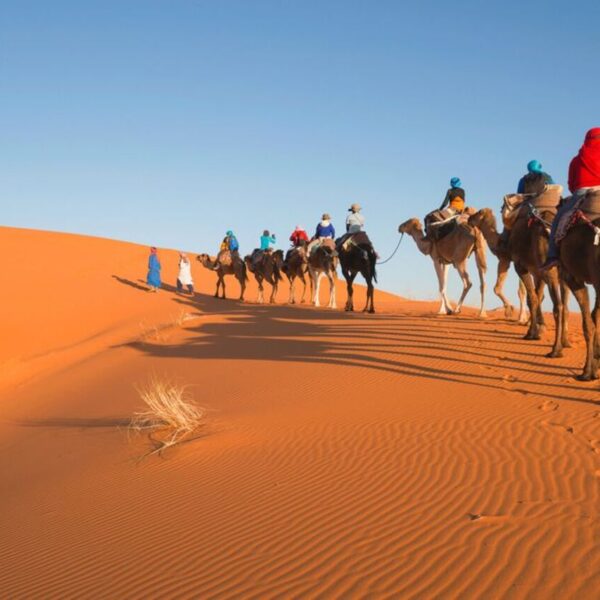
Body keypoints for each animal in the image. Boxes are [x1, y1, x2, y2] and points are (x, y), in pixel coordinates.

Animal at [466, 207, 568, 356]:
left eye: (478, 212)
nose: (468, 218)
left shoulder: (518, 265)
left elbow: (530, 297)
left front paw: (529, 330)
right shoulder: (536, 271)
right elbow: (537, 296)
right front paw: (537, 327)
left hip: (549, 269)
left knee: (558, 305)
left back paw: (556, 349)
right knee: (565, 304)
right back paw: (566, 342)